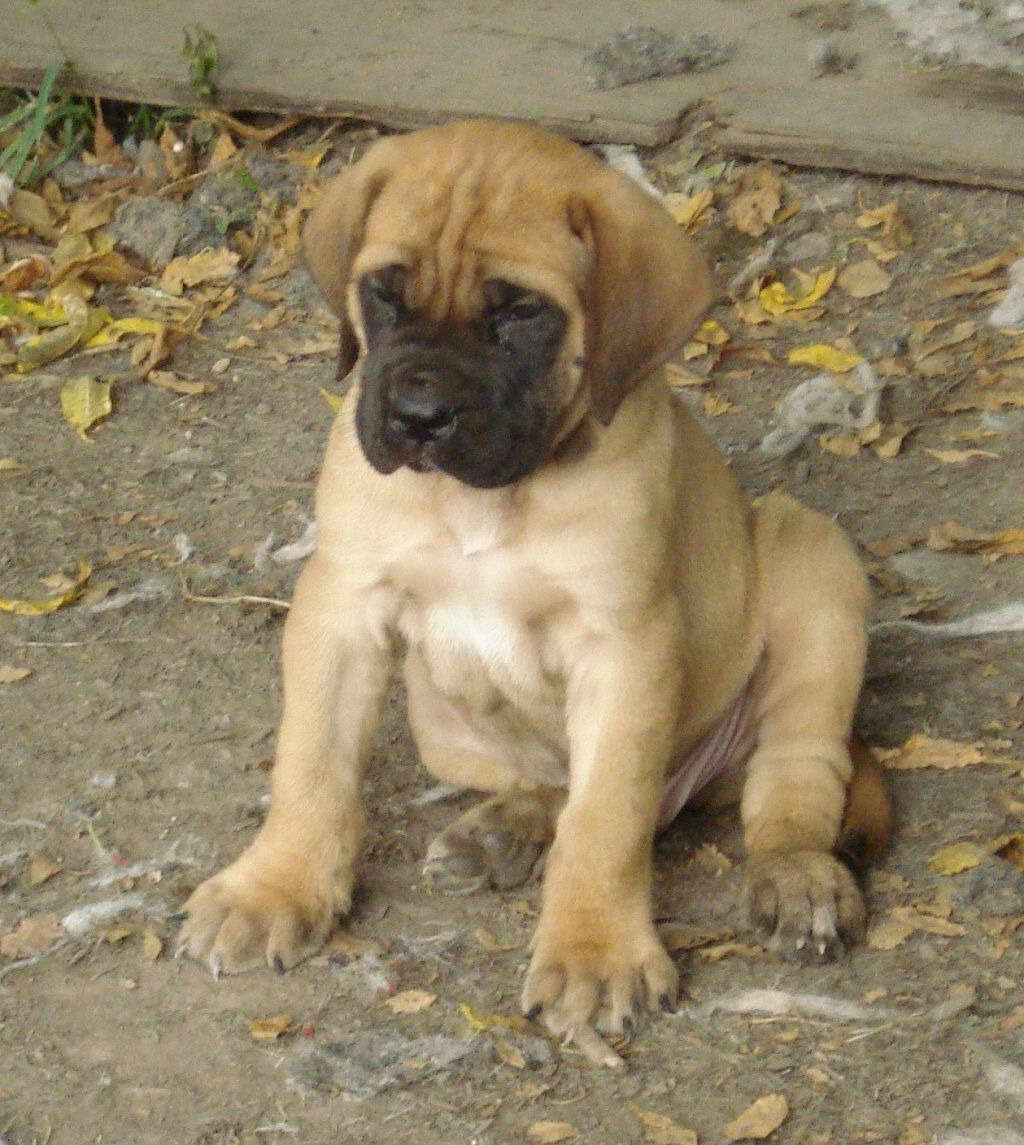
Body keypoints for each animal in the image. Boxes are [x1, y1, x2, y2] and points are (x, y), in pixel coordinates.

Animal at [180, 118, 893, 1062]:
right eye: (384, 292)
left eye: (520, 312)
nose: (417, 416)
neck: (485, 499)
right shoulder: (341, 607)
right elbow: (312, 763)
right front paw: (276, 886)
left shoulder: (625, 648)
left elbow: (607, 815)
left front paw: (596, 952)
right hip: (440, 721)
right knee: (554, 784)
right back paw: (498, 831)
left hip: (812, 562)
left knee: (788, 776)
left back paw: (798, 874)